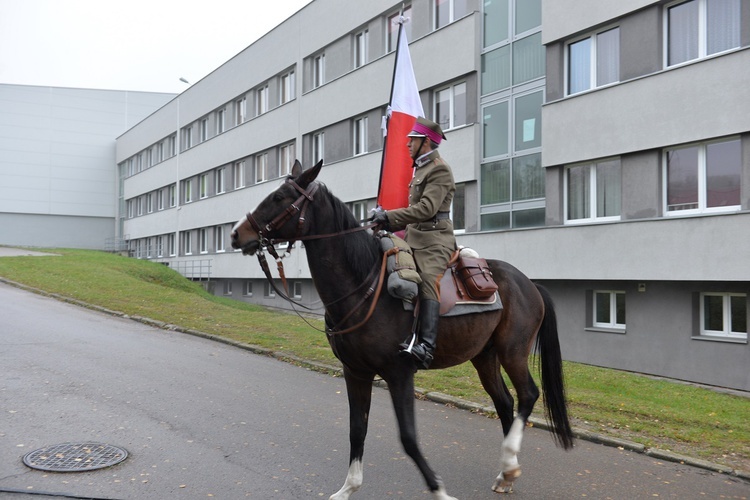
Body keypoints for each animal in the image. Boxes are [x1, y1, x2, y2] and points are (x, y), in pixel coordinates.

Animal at [232, 161, 580, 500]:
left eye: (280, 197)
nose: (236, 234)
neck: (364, 287)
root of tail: (529, 283)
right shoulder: (355, 372)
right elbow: (357, 429)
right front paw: (348, 488)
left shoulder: (399, 374)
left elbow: (409, 438)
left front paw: (439, 490)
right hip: (484, 356)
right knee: (505, 402)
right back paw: (506, 473)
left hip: (513, 351)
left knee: (527, 395)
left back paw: (509, 461)